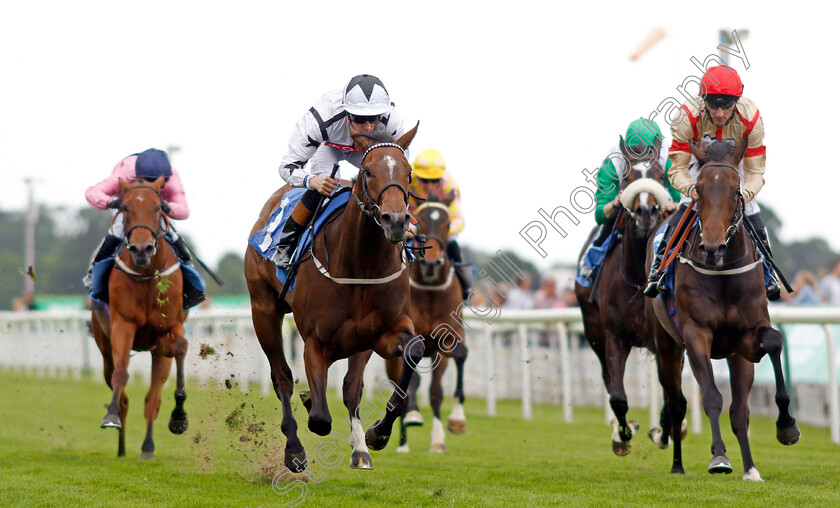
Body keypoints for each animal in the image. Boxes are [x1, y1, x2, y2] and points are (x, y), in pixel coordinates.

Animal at [92, 177, 190, 458]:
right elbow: (121, 374)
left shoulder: (169, 328)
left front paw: (179, 418)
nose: (141, 248)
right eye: (124, 207)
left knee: (152, 399)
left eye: (158, 208)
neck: (147, 277)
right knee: (121, 389)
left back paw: (147, 447)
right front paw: (110, 416)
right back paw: (122, 446)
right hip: (104, 348)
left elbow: (180, 348)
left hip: (157, 353)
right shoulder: (123, 325)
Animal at [246, 126, 424, 472]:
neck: (361, 266)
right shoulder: (315, 341)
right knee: (282, 378)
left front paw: (377, 435)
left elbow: (413, 351)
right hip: (263, 310)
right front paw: (308, 411)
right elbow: (319, 419)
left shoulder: (382, 332)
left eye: (408, 173)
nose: (396, 221)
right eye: (368, 172)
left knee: (351, 388)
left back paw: (360, 449)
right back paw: (294, 448)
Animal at [386, 200, 466, 454]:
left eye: (447, 224)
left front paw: (453, 424)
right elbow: (411, 383)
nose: (431, 263)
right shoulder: (410, 338)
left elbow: (438, 390)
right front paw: (413, 416)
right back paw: (403, 440)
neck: (430, 292)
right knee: (401, 388)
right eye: (419, 219)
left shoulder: (448, 337)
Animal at [576, 136, 676, 456]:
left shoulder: (667, 337)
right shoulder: (614, 336)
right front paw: (624, 433)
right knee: (608, 378)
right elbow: (617, 396)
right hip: (592, 330)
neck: (638, 279)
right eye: (630, 178)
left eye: (660, 177)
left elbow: (671, 395)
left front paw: (665, 432)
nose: (646, 212)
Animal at [648, 137, 800, 478]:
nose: (713, 247)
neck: (723, 272)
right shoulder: (696, 335)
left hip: (733, 354)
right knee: (677, 403)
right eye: (699, 190)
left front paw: (786, 426)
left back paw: (751, 468)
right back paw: (677, 466)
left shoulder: (747, 338)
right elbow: (712, 398)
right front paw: (718, 456)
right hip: (666, 345)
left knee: (739, 409)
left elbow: (774, 342)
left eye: (734, 191)